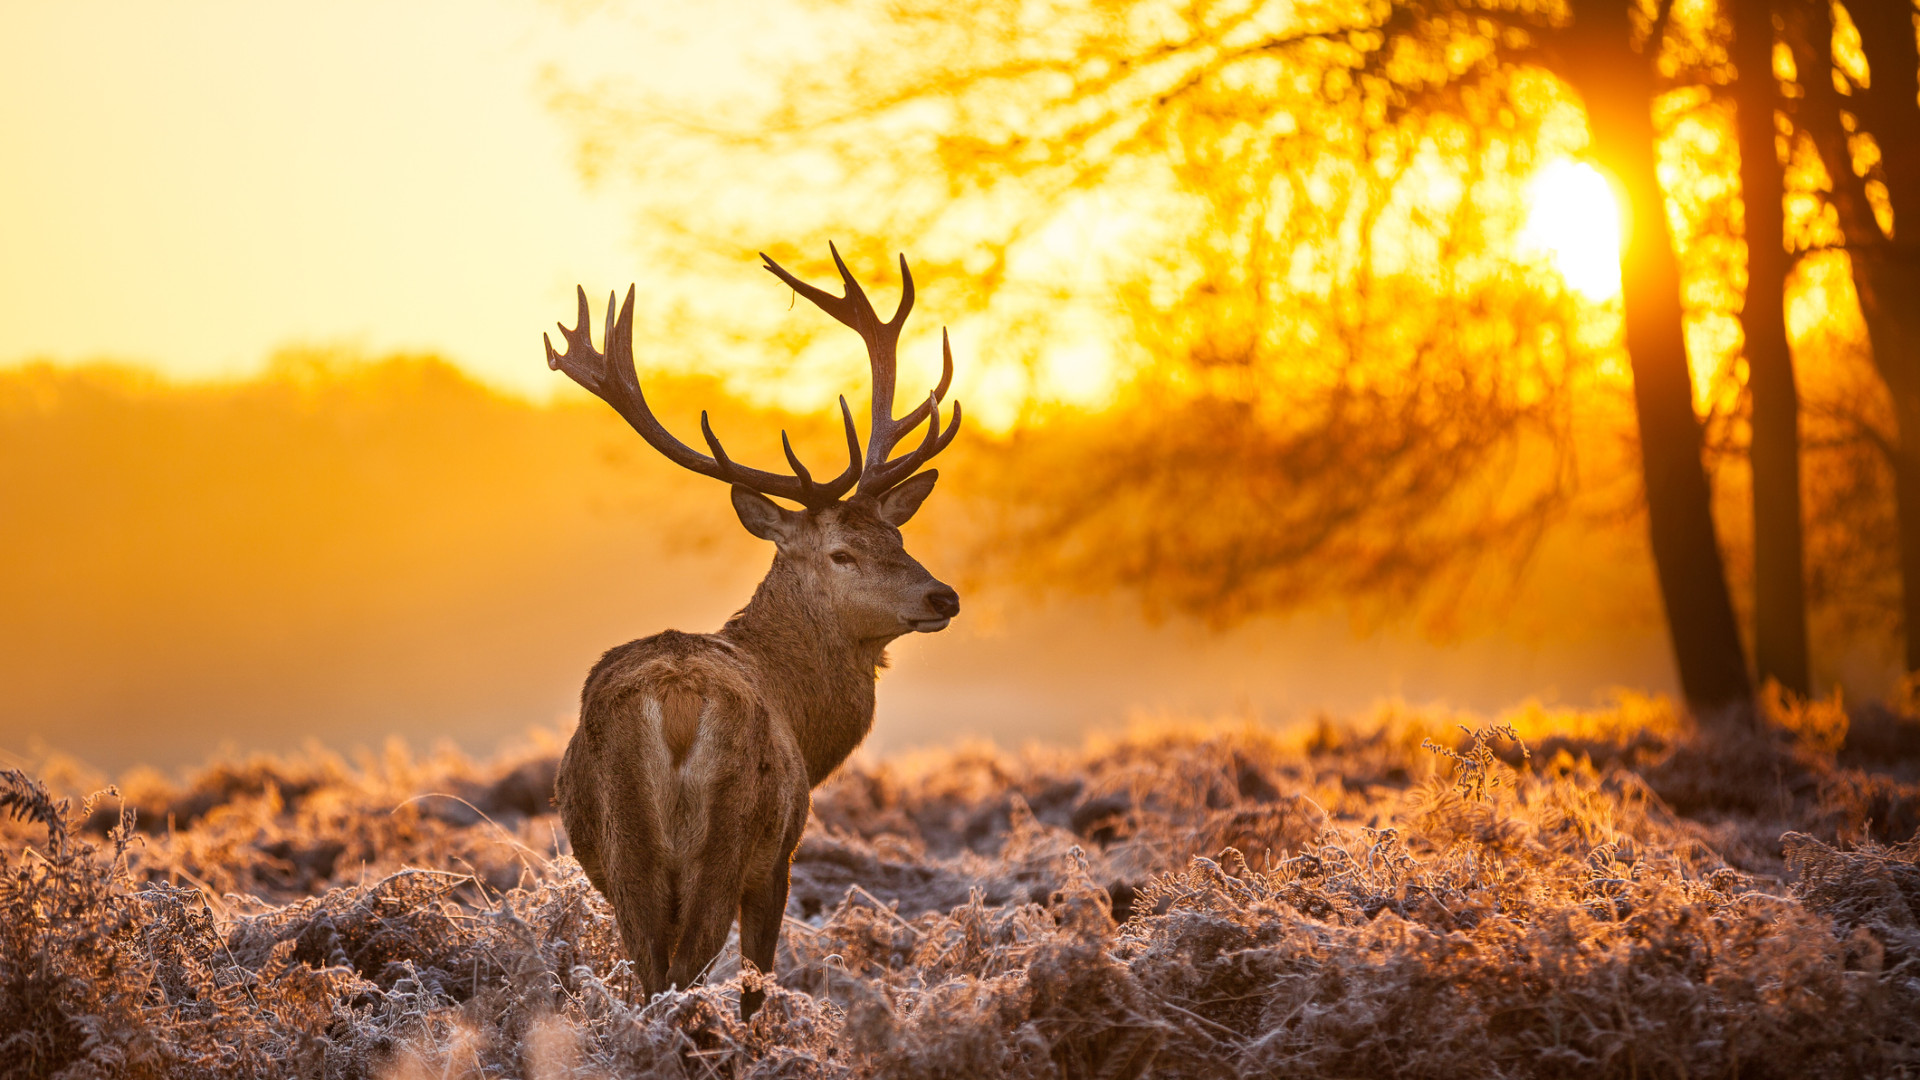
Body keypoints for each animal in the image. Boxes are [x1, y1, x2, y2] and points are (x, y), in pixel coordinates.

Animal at [543, 245, 962, 1020]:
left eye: (897, 535)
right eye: (842, 553)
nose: (942, 594)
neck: (804, 715)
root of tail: (677, 703)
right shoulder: (781, 856)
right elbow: (757, 984)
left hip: (624, 851)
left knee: (651, 972)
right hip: (729, 837)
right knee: (687, 971)